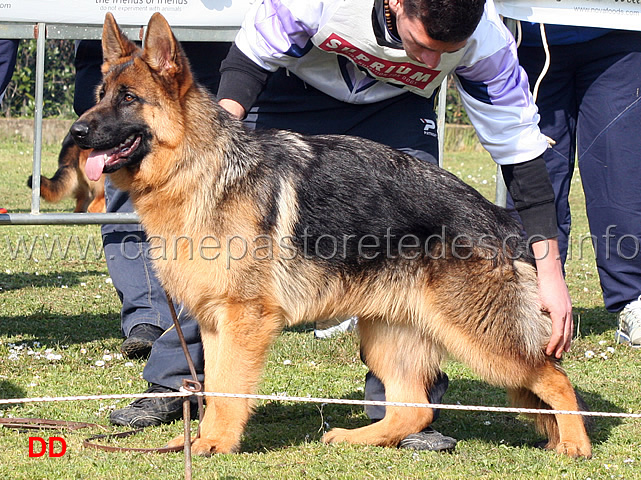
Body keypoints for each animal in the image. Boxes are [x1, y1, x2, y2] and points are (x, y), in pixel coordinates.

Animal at [69, 13, 592, 458]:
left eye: (129, 99)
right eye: (101, 94)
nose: (76, 133)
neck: (199, 168)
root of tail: (501, 219)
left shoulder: (242, 320)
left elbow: (230, 390)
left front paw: (214, 444)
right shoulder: (215, 322)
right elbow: (214, 389)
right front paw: (199, 441)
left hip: (480, 340)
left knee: (555, 378)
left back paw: (576, 445)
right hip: (386, 333)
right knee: (413, 408)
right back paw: (356, 437)